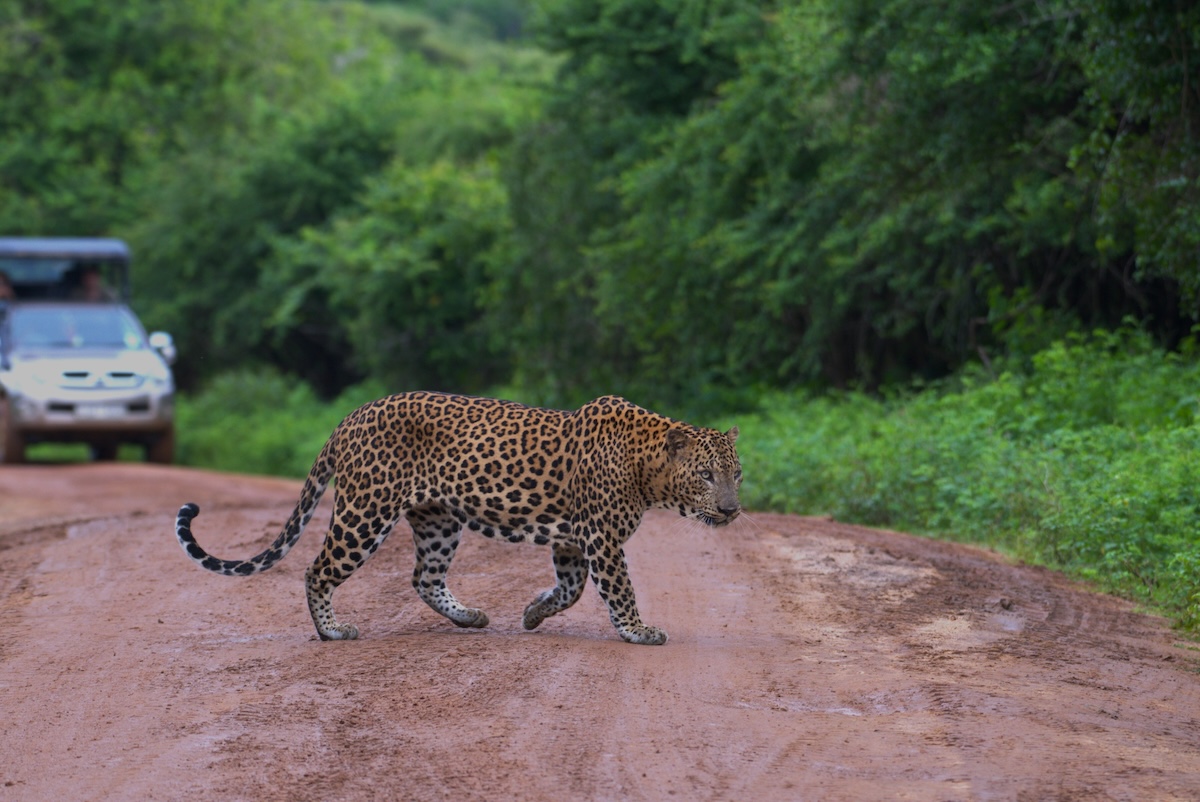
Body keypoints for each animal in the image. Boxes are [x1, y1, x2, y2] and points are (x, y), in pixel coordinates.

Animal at [174, 392, 742, 645]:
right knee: (319, 568)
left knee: (423, 577)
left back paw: (469, 617)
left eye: (737, 474)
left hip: (438, 520)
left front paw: (532, 613)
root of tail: (351, 416)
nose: (733, 509)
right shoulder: (600, 537)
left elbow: (571, 589)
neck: (649, 469)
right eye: (707, 475)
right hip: (366, 511)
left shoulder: (572, 541)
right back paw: (332, 630)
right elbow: (618, 589)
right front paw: (638, 631)